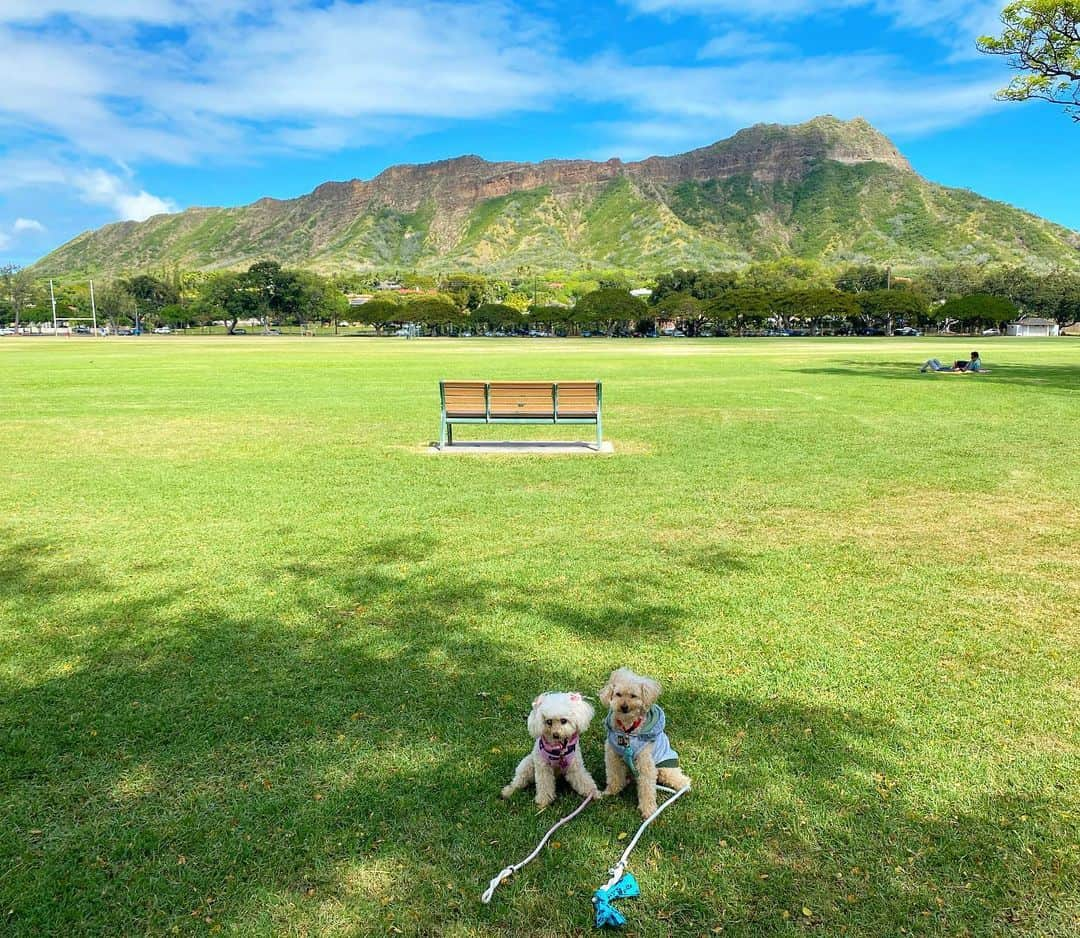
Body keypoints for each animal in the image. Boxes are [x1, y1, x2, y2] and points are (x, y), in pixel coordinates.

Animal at [600, 669, 691, 816]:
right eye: (618, 694)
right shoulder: (612, 756)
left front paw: (648, 810)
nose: (624, 707)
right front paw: (611, 791)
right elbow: (614, 775)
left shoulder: (645, 763)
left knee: (677, 777)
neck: (627, 731)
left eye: (633, 695)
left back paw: (684, 785)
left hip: (665, 767)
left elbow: (647, 787)